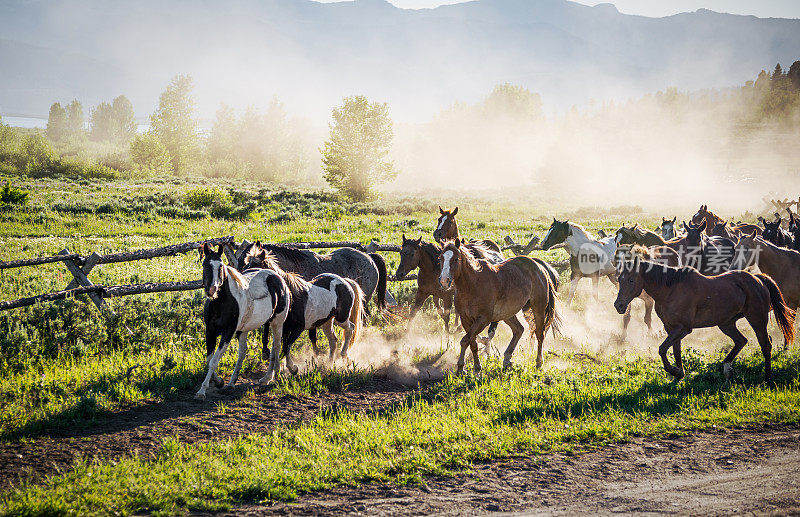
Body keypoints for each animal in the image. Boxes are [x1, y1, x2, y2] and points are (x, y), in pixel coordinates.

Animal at [196, 244, 290, 402]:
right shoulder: (210, 331)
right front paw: (219, 382)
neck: (221, 303)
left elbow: (214, 361)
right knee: (243, 352)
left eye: (220, 266)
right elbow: (209, 359)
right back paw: (233, 383)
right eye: (204, 265)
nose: (211, 290)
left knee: (276, 346)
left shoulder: (228, 332)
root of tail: (277, 277)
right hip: (244, 330)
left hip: (277, 322)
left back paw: (272, 377)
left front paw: (202, 391)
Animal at [438, 240, 564, 372]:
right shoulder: (466, 320)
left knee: (540, 334)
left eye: (456, 258)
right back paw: (507, 358)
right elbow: (472, 342)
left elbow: (465, 340)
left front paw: (461, 367)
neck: (473, 285)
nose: (444, 281)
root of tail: (540, 267)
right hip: (507, 314)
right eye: (441, 258)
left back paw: (539, 362)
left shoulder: (483, 319)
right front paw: (475, 367)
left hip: (538, 309)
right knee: (519, 330)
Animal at [616, 256, 792, 380]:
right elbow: (675, 350)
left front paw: (674, 371)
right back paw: (727, 368)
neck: (670, 290)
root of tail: (758, 279)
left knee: (766, 345)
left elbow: (663, 349)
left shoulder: (683, 328)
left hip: (757, 320)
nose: (618, 305)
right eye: (619, 279)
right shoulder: (671, 328)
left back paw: (767, 377)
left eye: (631, 280)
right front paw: (679, 374)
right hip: (726, 324)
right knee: (741, 341)